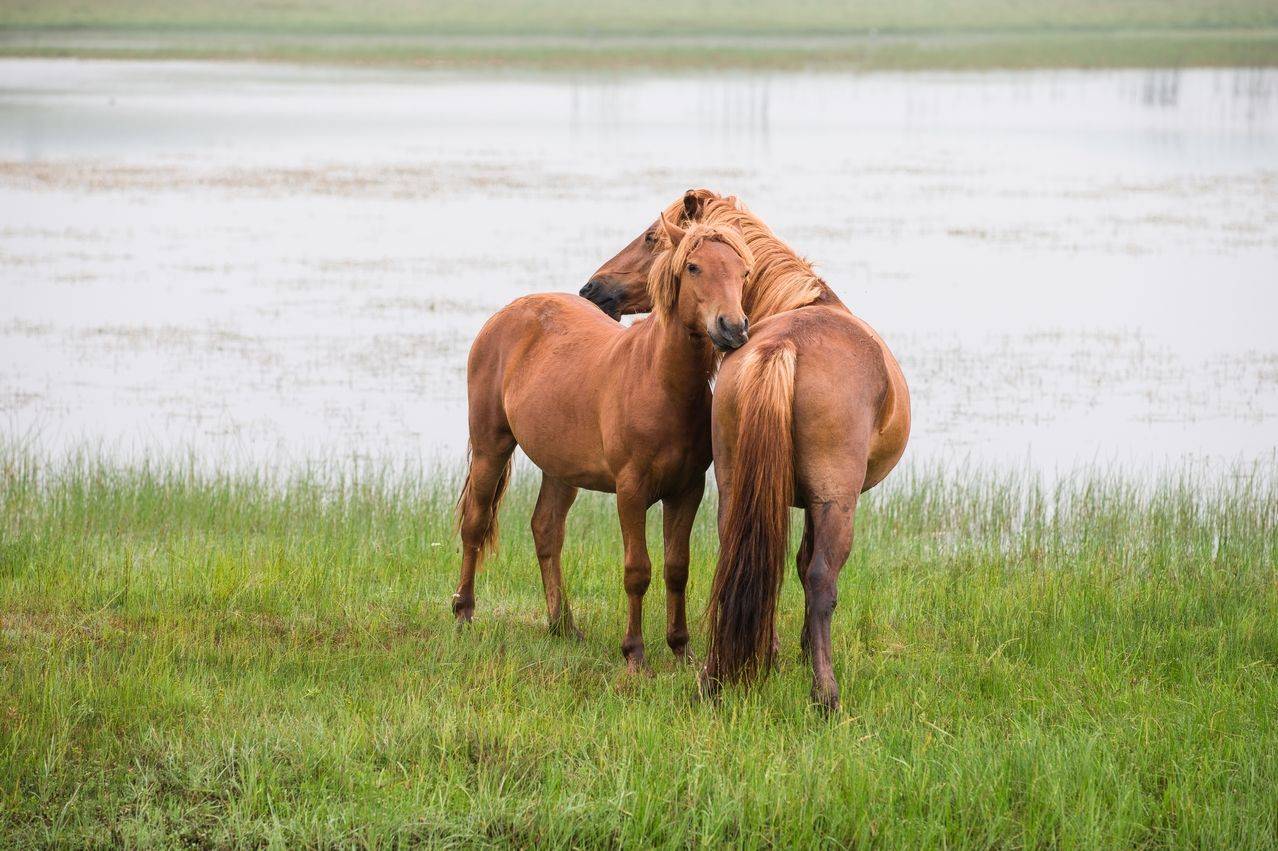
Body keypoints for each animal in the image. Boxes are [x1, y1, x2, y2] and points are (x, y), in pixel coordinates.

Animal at [454, 210, 751, 669]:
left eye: (743, 272)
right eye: (693, 267)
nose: (732, 328)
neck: (658, 382)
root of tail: (505, 315)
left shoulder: (687, 490)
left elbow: (677, 568)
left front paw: (680, 648)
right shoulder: (630, 491)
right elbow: (637, 570)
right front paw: (635, 653)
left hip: (560, 468)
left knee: (546, 530)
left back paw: (563, 625)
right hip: (491, 447)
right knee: (475, 523)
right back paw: (464, 613)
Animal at [580, 187, 909, 710]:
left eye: (651, 237)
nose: (594, 288)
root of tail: (785, 348)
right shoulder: (818, 501)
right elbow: (807, 568)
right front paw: (802, 655)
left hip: (738, 487)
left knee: (745, 561)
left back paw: (722, 673)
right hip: (836, 500)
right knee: (822, 580)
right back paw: (825, 693)